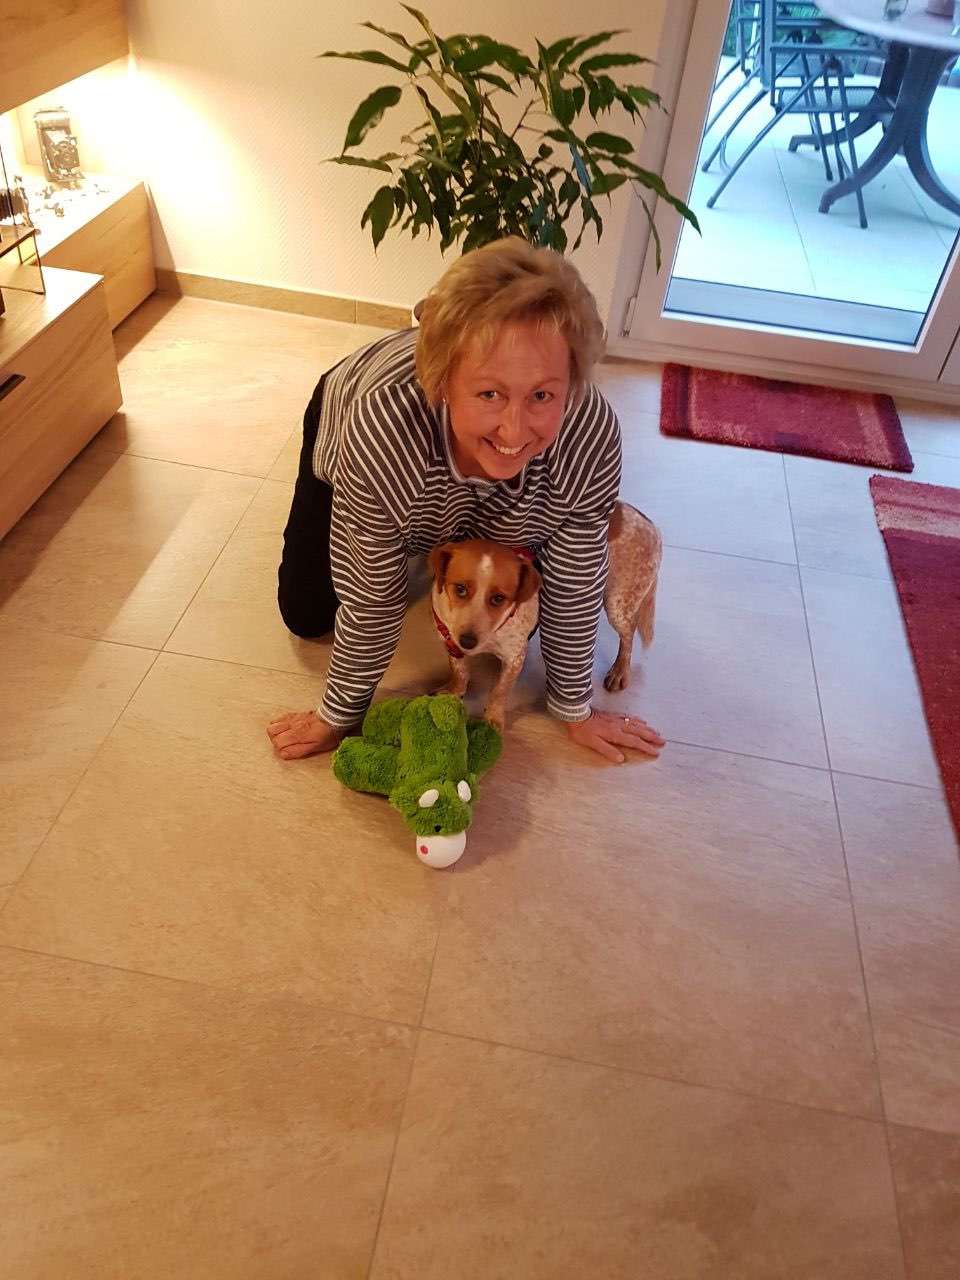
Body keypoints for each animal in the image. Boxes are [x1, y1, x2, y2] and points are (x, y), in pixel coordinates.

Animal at [428, 502, 662, 730]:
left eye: (498, 598)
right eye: (460, 589)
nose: (467, 641)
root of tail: (649, 524)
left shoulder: (514, 658)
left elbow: (499, 692)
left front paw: (492, 719)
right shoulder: (449, 642)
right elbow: (459, 672)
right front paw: (454, 691)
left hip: (617, 604)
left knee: (628, 635)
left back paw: (619, 671)